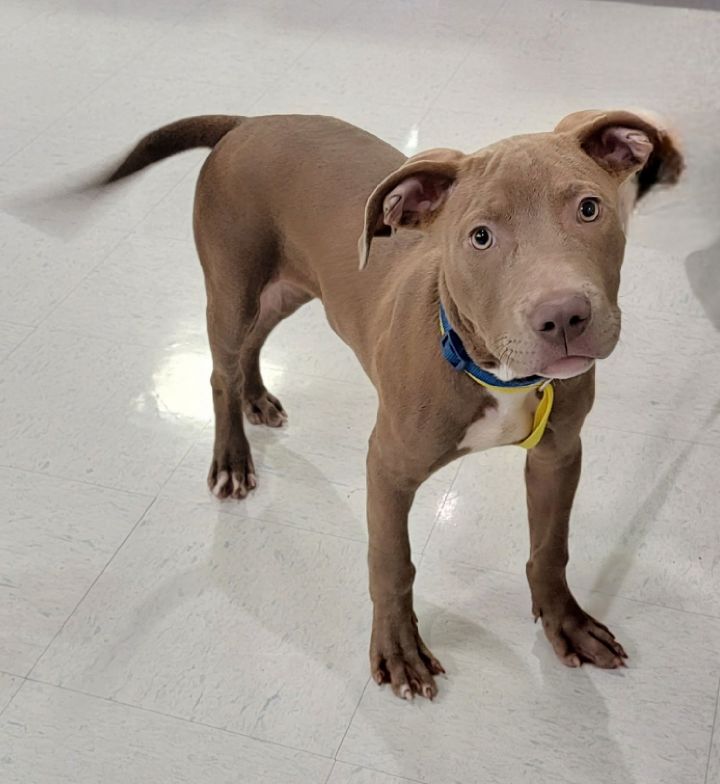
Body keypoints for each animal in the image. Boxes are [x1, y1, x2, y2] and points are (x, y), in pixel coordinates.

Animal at [94, 108, 680, 700]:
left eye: (589, 208)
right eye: (481, 237)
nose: (563, 317)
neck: (492, 371)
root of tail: (249, 121)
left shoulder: (558, 454)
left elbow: (551, 547)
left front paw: (565, 620)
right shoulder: (388, 468)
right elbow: (393, 563)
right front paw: (398, 649)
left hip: (294, 285)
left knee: (255, 341)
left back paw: (256, 397)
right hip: (232, 285)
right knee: (221, 368)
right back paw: (233, 460)